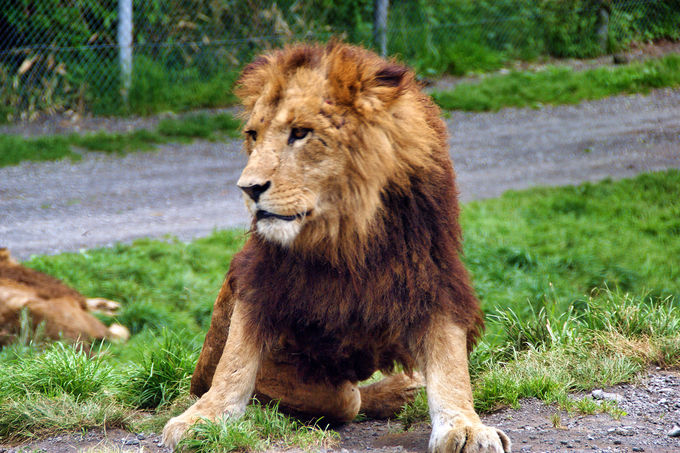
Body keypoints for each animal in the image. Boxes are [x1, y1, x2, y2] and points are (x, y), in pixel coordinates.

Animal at [161, 40, 510, 450]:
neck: (346, 233)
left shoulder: (433, 277)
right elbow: (234, 361)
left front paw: (466, 426)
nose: (248, 188)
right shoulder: (260, 278)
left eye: (300, 133)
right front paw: (202, 419)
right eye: (253, 135)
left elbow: (451, 367)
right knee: (349, 397)